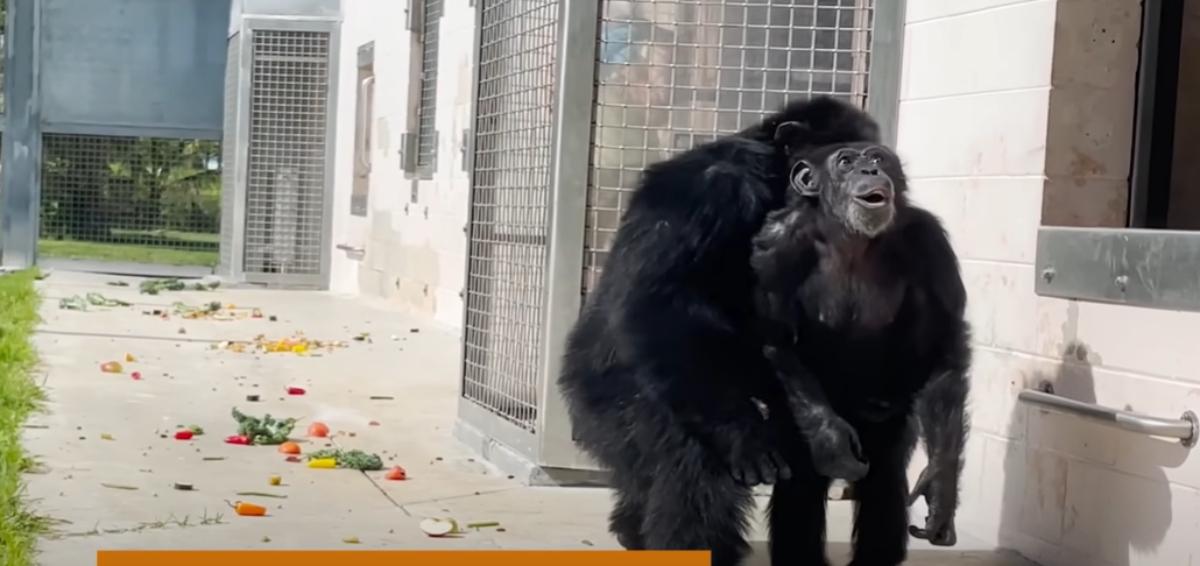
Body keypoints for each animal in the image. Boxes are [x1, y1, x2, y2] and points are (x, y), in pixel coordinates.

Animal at [554, 95, 883, 563]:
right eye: (846, 159)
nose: (871, 176)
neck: (772, 183)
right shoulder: (707, 192)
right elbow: (662, 301)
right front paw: (741, 434)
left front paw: (831, 436)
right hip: (611, 405)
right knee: (689, 456)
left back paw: (633, 526)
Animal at [748, 141, 974, 566]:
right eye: (846, 162)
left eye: (878, 157)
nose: (869, 170)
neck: (849, 235)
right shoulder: (775, 247)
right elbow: (776, 338)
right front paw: (832, 441)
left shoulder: (930, 241)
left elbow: (944, 348)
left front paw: (940, 487)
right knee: (802, 483)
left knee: (884, 477)